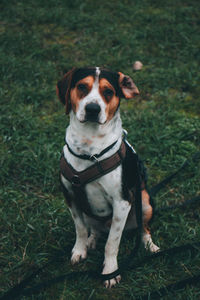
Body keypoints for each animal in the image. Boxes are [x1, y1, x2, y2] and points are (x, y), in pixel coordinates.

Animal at [56, 67, 159, 288]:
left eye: (109, 91)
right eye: (82, 86)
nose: (93, 109)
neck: (90, 149)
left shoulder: (122, 202)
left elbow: (112, 243)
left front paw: (110, 272)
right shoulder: (70, 196)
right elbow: (80, 229)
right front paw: (80, 250)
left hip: (144, 201)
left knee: (143, 228)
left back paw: (149, 245)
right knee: (94, 229)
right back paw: (92, 240)